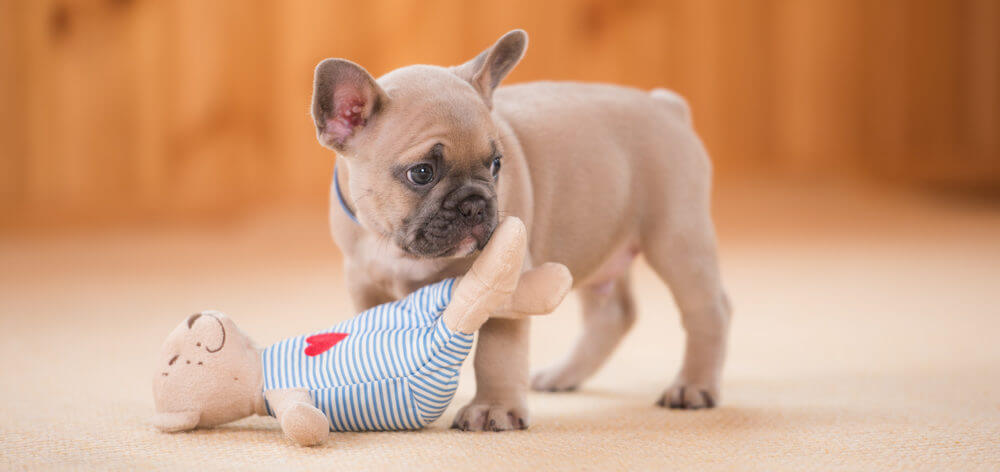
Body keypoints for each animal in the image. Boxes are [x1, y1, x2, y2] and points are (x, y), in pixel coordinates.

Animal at [312, 29, 736, 432]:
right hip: (596, 242)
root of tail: (667, 106)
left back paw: (693, 385)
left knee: (708, 310)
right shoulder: (366, 284)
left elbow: (496, 352)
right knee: (613, 313)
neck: (398, 248)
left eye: (496, 164)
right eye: (421, 173)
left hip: (676, 239)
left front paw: (493, 408)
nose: (475, 204)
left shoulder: (502, 279)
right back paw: (563, 375)